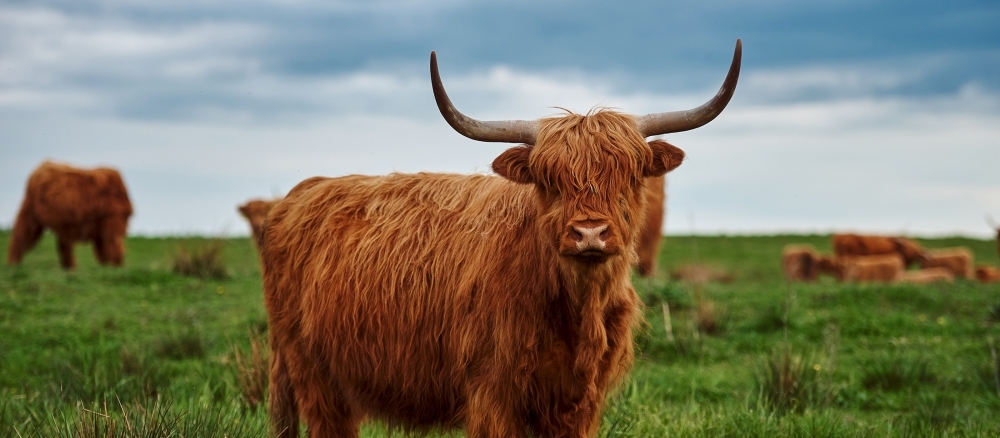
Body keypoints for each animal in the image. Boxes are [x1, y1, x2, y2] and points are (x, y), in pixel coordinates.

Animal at [262, 41, 740, 438]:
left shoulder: (579, 403)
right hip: (313, 375)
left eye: (628, 176)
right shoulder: (493, 394)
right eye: (549, 180)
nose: (589, 232)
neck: (576, 312)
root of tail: (302, 192)